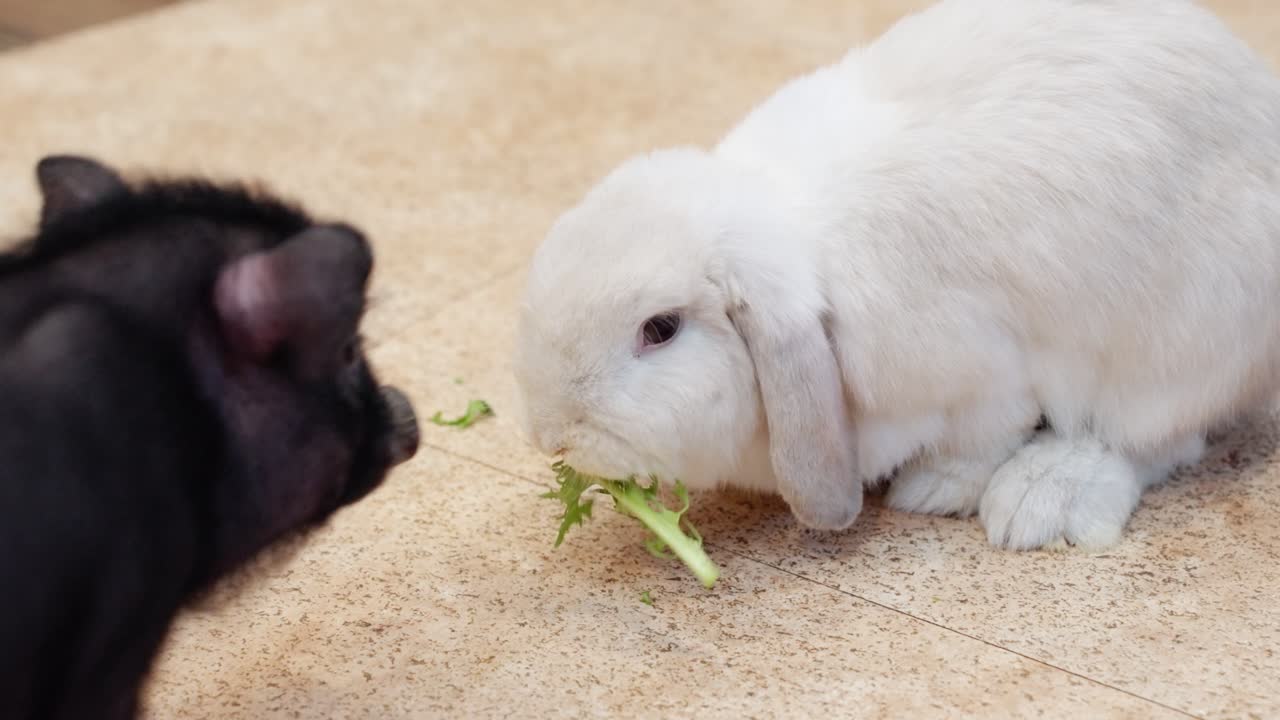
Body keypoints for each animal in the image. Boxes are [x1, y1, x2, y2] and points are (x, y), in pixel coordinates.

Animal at [513, 0, 1280, 551]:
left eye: (661, 329)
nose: (552, 437)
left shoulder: (983, 373)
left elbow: (982, 439)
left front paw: (935, 487)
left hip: (1180, 345)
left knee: (1153, 439)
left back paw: (1038, 503)